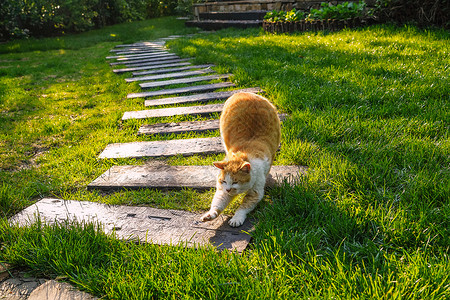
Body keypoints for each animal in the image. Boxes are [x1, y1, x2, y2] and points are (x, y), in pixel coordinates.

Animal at [201, 92, 280, 227]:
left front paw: (236, 218)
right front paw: (210, 214)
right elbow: (218, 202)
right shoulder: (223, 191)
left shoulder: (255, 192)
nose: (228, 189)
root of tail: (243, 92)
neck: (244, 154)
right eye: (224, 181)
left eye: (235, 182)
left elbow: (243, 207)